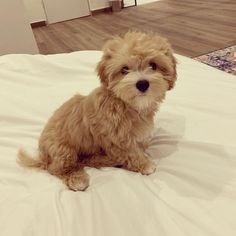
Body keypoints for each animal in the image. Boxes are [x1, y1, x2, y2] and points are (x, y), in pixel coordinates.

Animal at [18, 31, 176, 191]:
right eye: (124, 70)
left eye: (153, 65)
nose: (142, 84)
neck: (124, 103)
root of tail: (43, 155)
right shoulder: (118, 139)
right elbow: (132, 153)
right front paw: (144, 164)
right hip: (63, 150)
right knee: (56, 168)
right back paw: (77, 179)